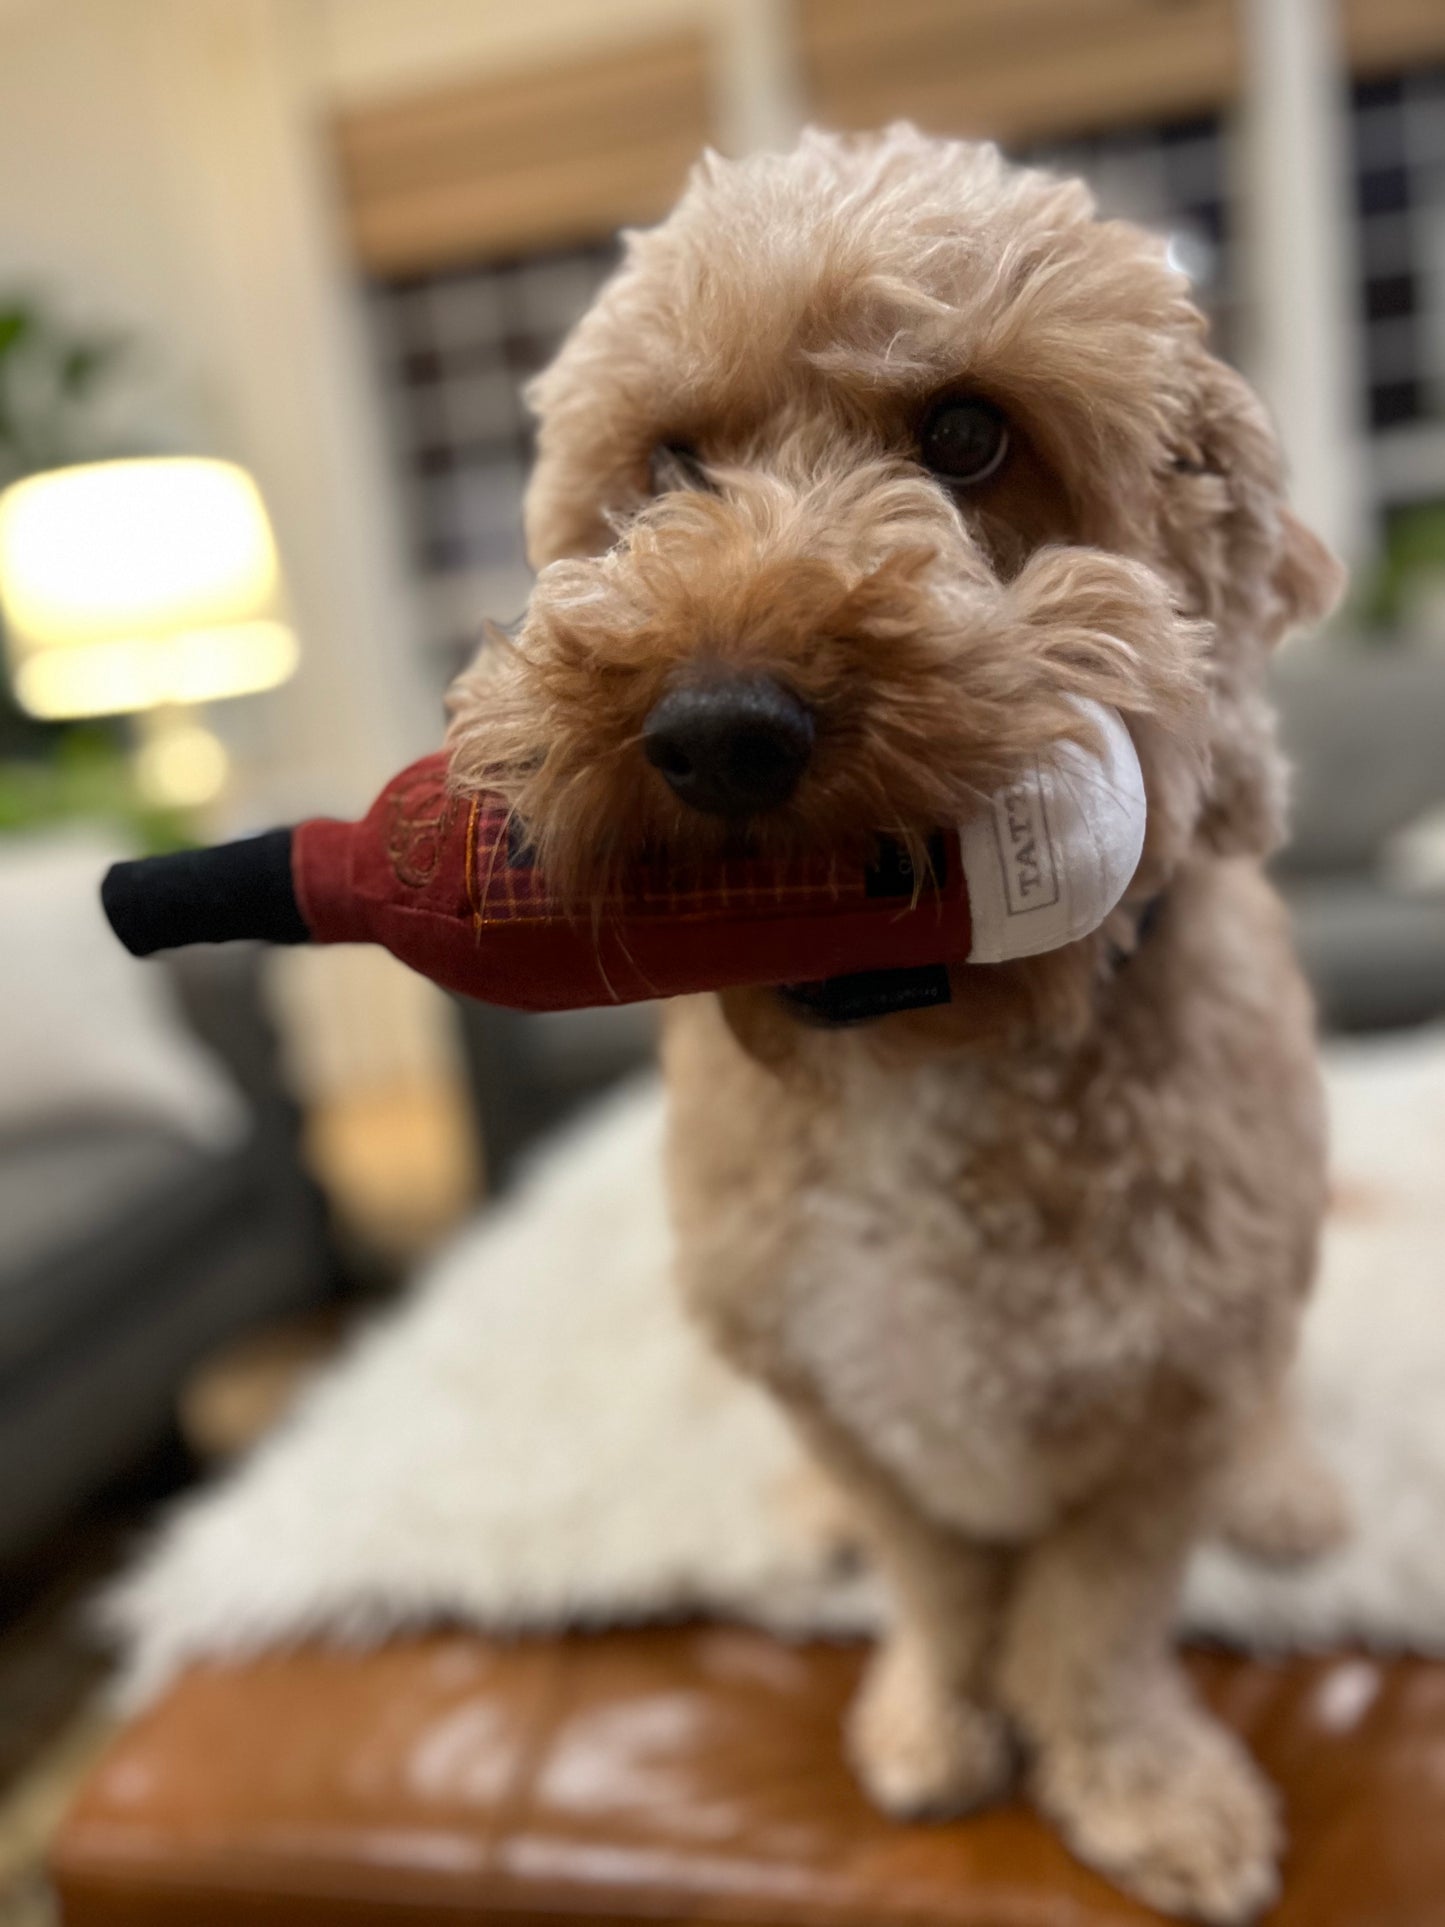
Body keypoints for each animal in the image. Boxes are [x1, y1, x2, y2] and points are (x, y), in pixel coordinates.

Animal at [446, 128, 1356, 1919]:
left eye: (968, 434)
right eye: (670, 464)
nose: (718, 725)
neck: (922, 1063)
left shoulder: (1170, 1409)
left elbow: (1092, 1624)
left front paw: (1142, 1787)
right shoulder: (834, 1380)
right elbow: (937, 1581)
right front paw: (934, 1720)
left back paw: (1288, 1492)